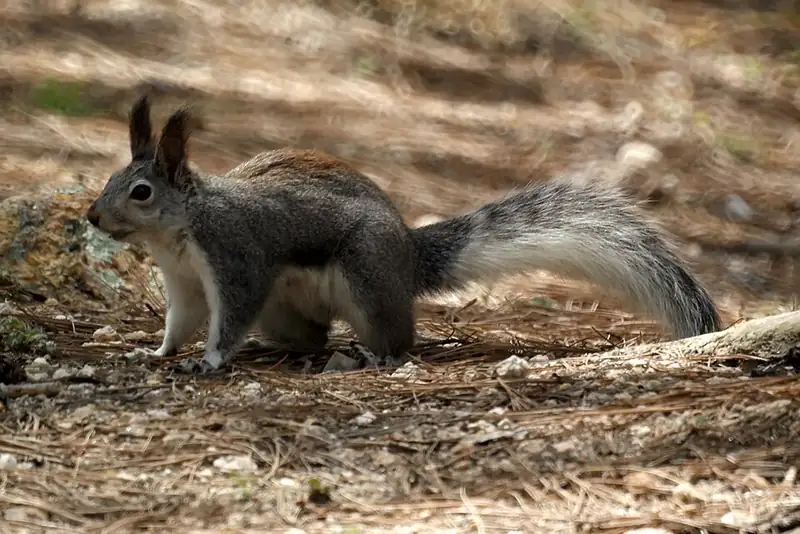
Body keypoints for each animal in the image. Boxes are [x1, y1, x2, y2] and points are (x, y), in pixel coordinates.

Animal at [86, 95, 722, 373]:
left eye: (140, 192)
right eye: (112, 177)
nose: (93, 217)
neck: (182, 232)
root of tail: (409, 258)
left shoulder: (234, 259)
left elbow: (227, 317)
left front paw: (211, 360)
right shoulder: (185, 281)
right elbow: (182, 320)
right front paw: (158, 351)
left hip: (366, 276)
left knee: (397, 335)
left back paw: (371, 353)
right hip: (288, 308)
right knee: (310, 335)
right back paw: (283, 348)